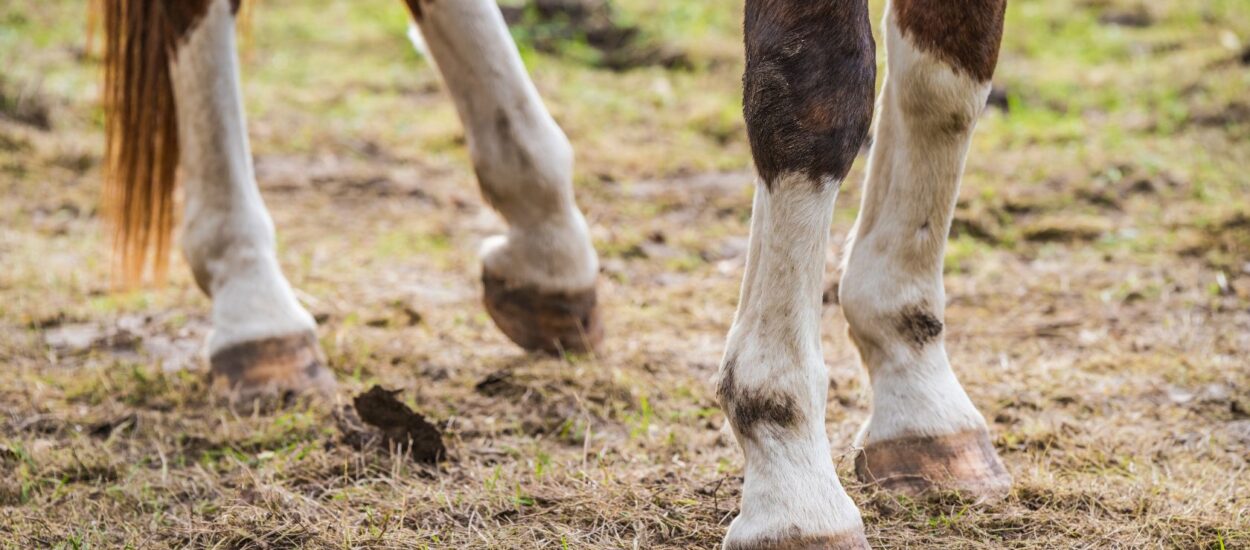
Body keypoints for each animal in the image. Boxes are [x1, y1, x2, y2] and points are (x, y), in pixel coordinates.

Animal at [102, 0, 1010, 545]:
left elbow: (946, 76)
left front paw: (917, 392)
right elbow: (817, 91)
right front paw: (790, 478)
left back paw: (546, 247)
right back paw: (254, 309)